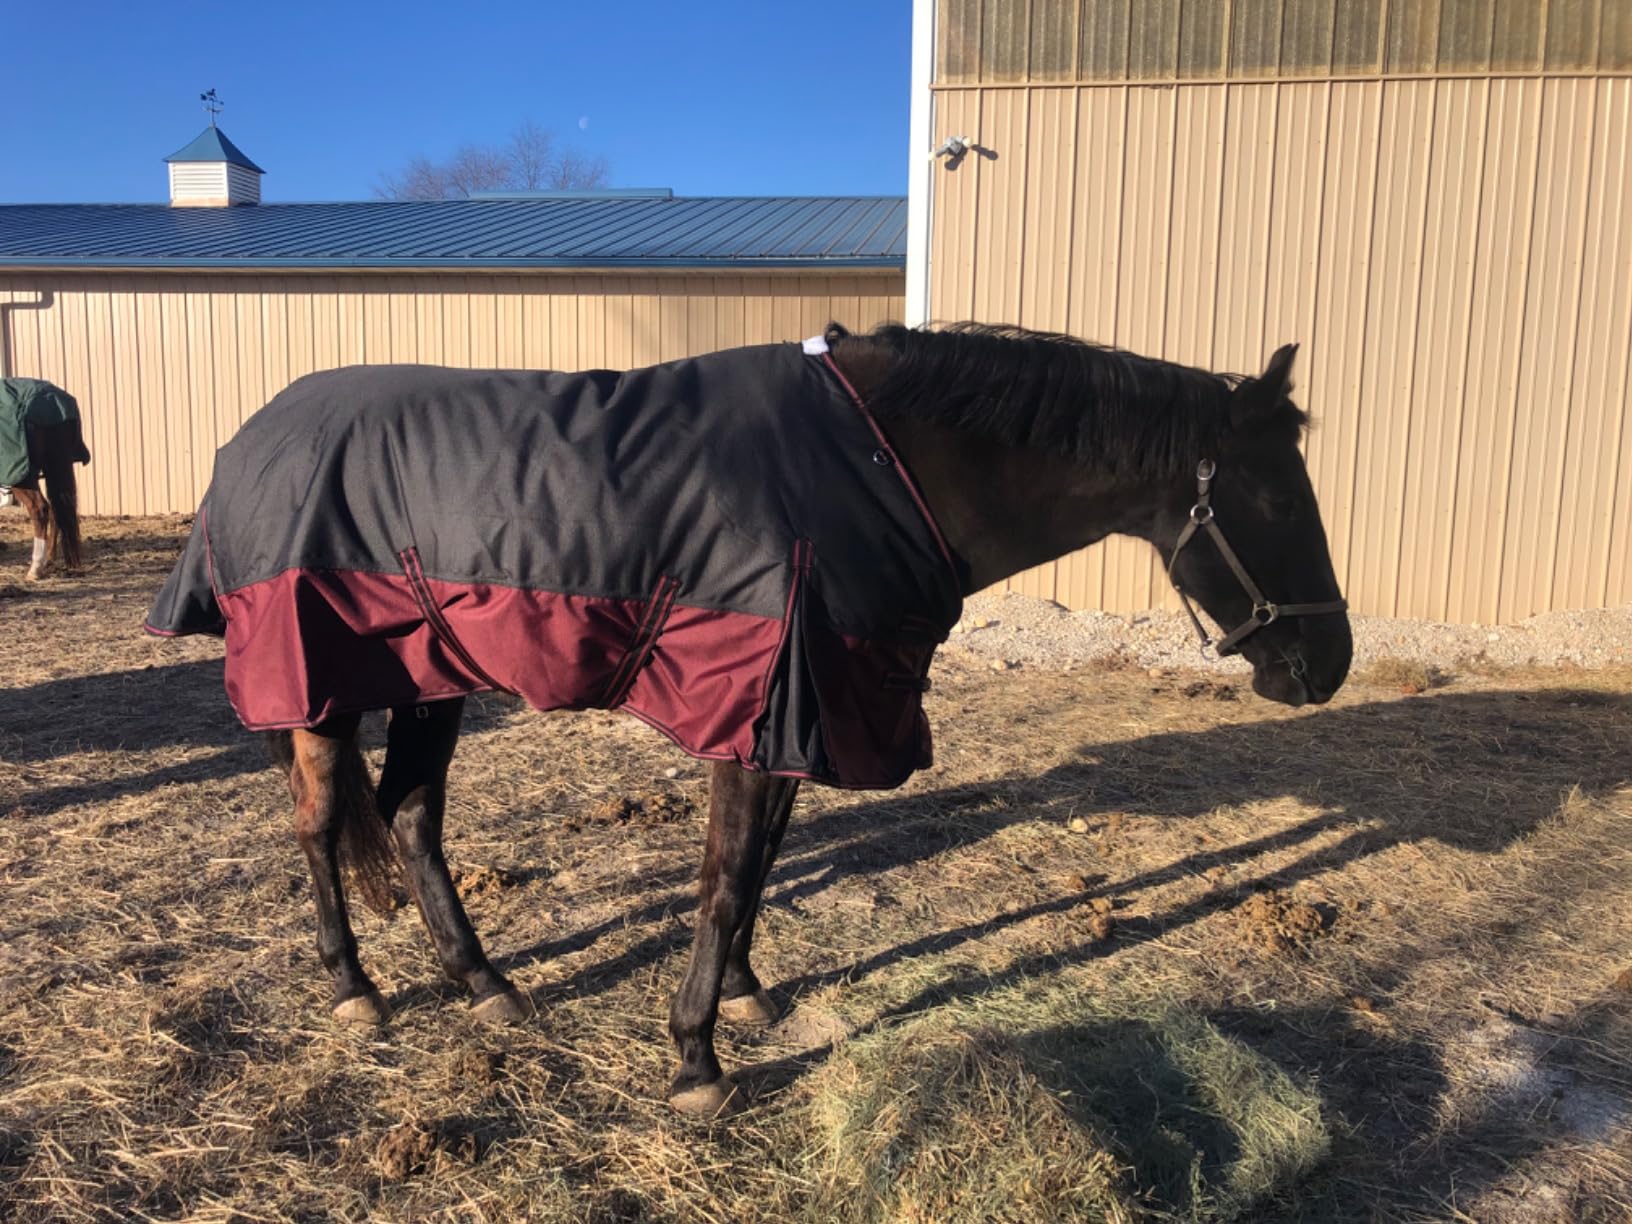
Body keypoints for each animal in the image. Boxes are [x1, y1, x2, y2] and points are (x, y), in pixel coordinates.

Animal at [1, 377, 91, 580]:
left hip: (23, 475)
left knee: (40, 508)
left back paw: (35, 568)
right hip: (53, 468)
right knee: (56, 510)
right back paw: (48, 559)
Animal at [145, 321, 1351, 1117]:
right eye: (1278, 498)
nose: (1327, 666)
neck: (882, 466)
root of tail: (249, 437)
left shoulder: (796, 717)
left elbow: (761, 868)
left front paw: (746, 997)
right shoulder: (767, 701)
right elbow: (727, 875)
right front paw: (695, 1058)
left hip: (430, 672)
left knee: (408, 817)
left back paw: (485, 987)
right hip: (320, 680)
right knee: (319, 826)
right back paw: (355, 991)